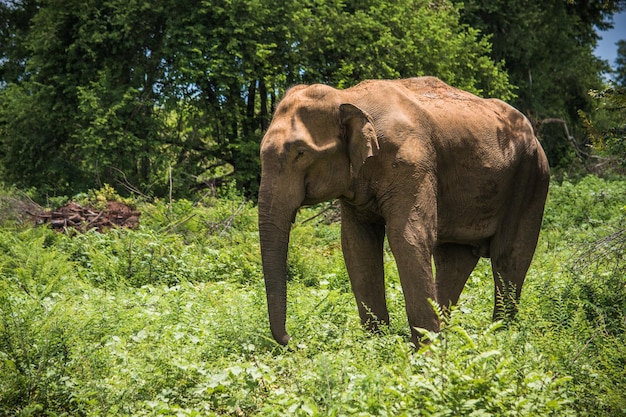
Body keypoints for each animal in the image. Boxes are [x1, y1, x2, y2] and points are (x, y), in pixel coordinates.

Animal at [256, 76, 548, 346]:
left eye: (300, 153)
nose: (292, 339)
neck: (348, 97)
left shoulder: (412, 163)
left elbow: (407, 237)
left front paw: (424, 354)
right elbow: (357, 245)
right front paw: (377, 344)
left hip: (533, 179)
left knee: (509, 257)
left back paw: (500, 337)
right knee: (454, 258)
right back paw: (450, 338)